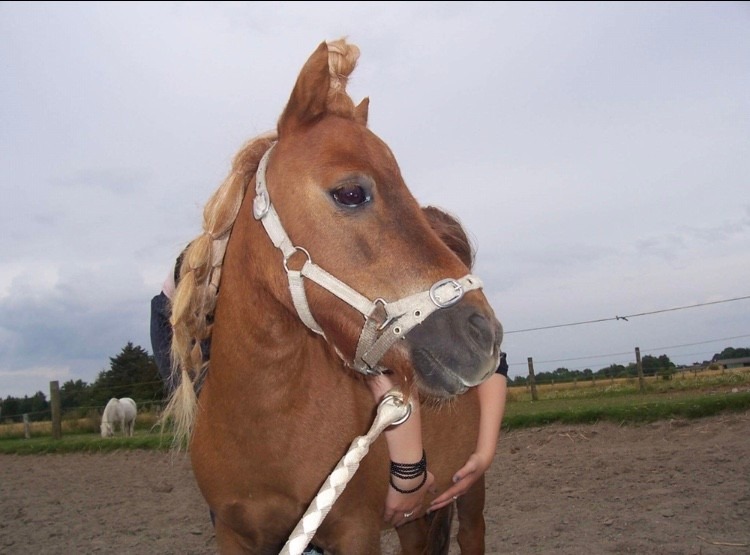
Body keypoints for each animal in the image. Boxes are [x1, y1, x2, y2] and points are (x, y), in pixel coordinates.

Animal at [164, 39, 506, 555]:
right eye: (349, 192)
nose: (483, 333)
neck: (265, 428)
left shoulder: (355, 530)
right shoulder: (235, 534)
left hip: (470, 496)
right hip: (415, 516)